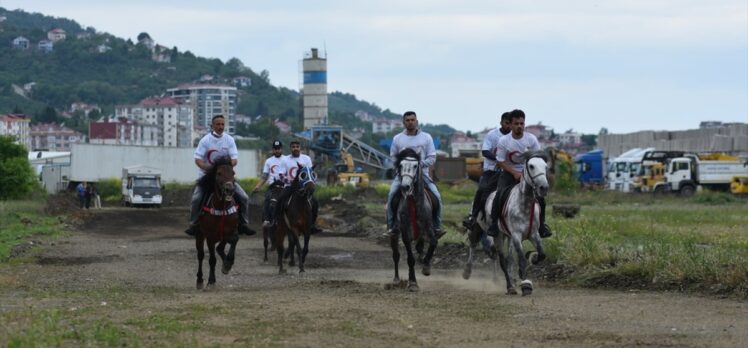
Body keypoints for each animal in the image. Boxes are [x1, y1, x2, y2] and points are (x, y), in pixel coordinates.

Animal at [194, 156, 238, 290]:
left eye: (233, 173)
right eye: (219, 173)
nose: (229, 189)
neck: (221, 208)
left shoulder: (231, 231)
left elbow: (234, 239)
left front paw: (227, 264)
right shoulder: (210, 237)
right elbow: (212, 259)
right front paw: (211, 281)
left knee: (220, 247)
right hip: (199, 235)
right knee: (200, 255)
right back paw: (199, 280)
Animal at [462, 151, 548, 294]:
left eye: (546, 166)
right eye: (531, 166)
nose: (543, 188)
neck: (524, 205)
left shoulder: (534, 234)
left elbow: (541, 254)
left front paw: (533, 257)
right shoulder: (516, 235)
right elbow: (521, 260)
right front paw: (526, 284)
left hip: (506, 236)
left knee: (507, 259)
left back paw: (510, 280)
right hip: (482, 230)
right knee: (478, 248)